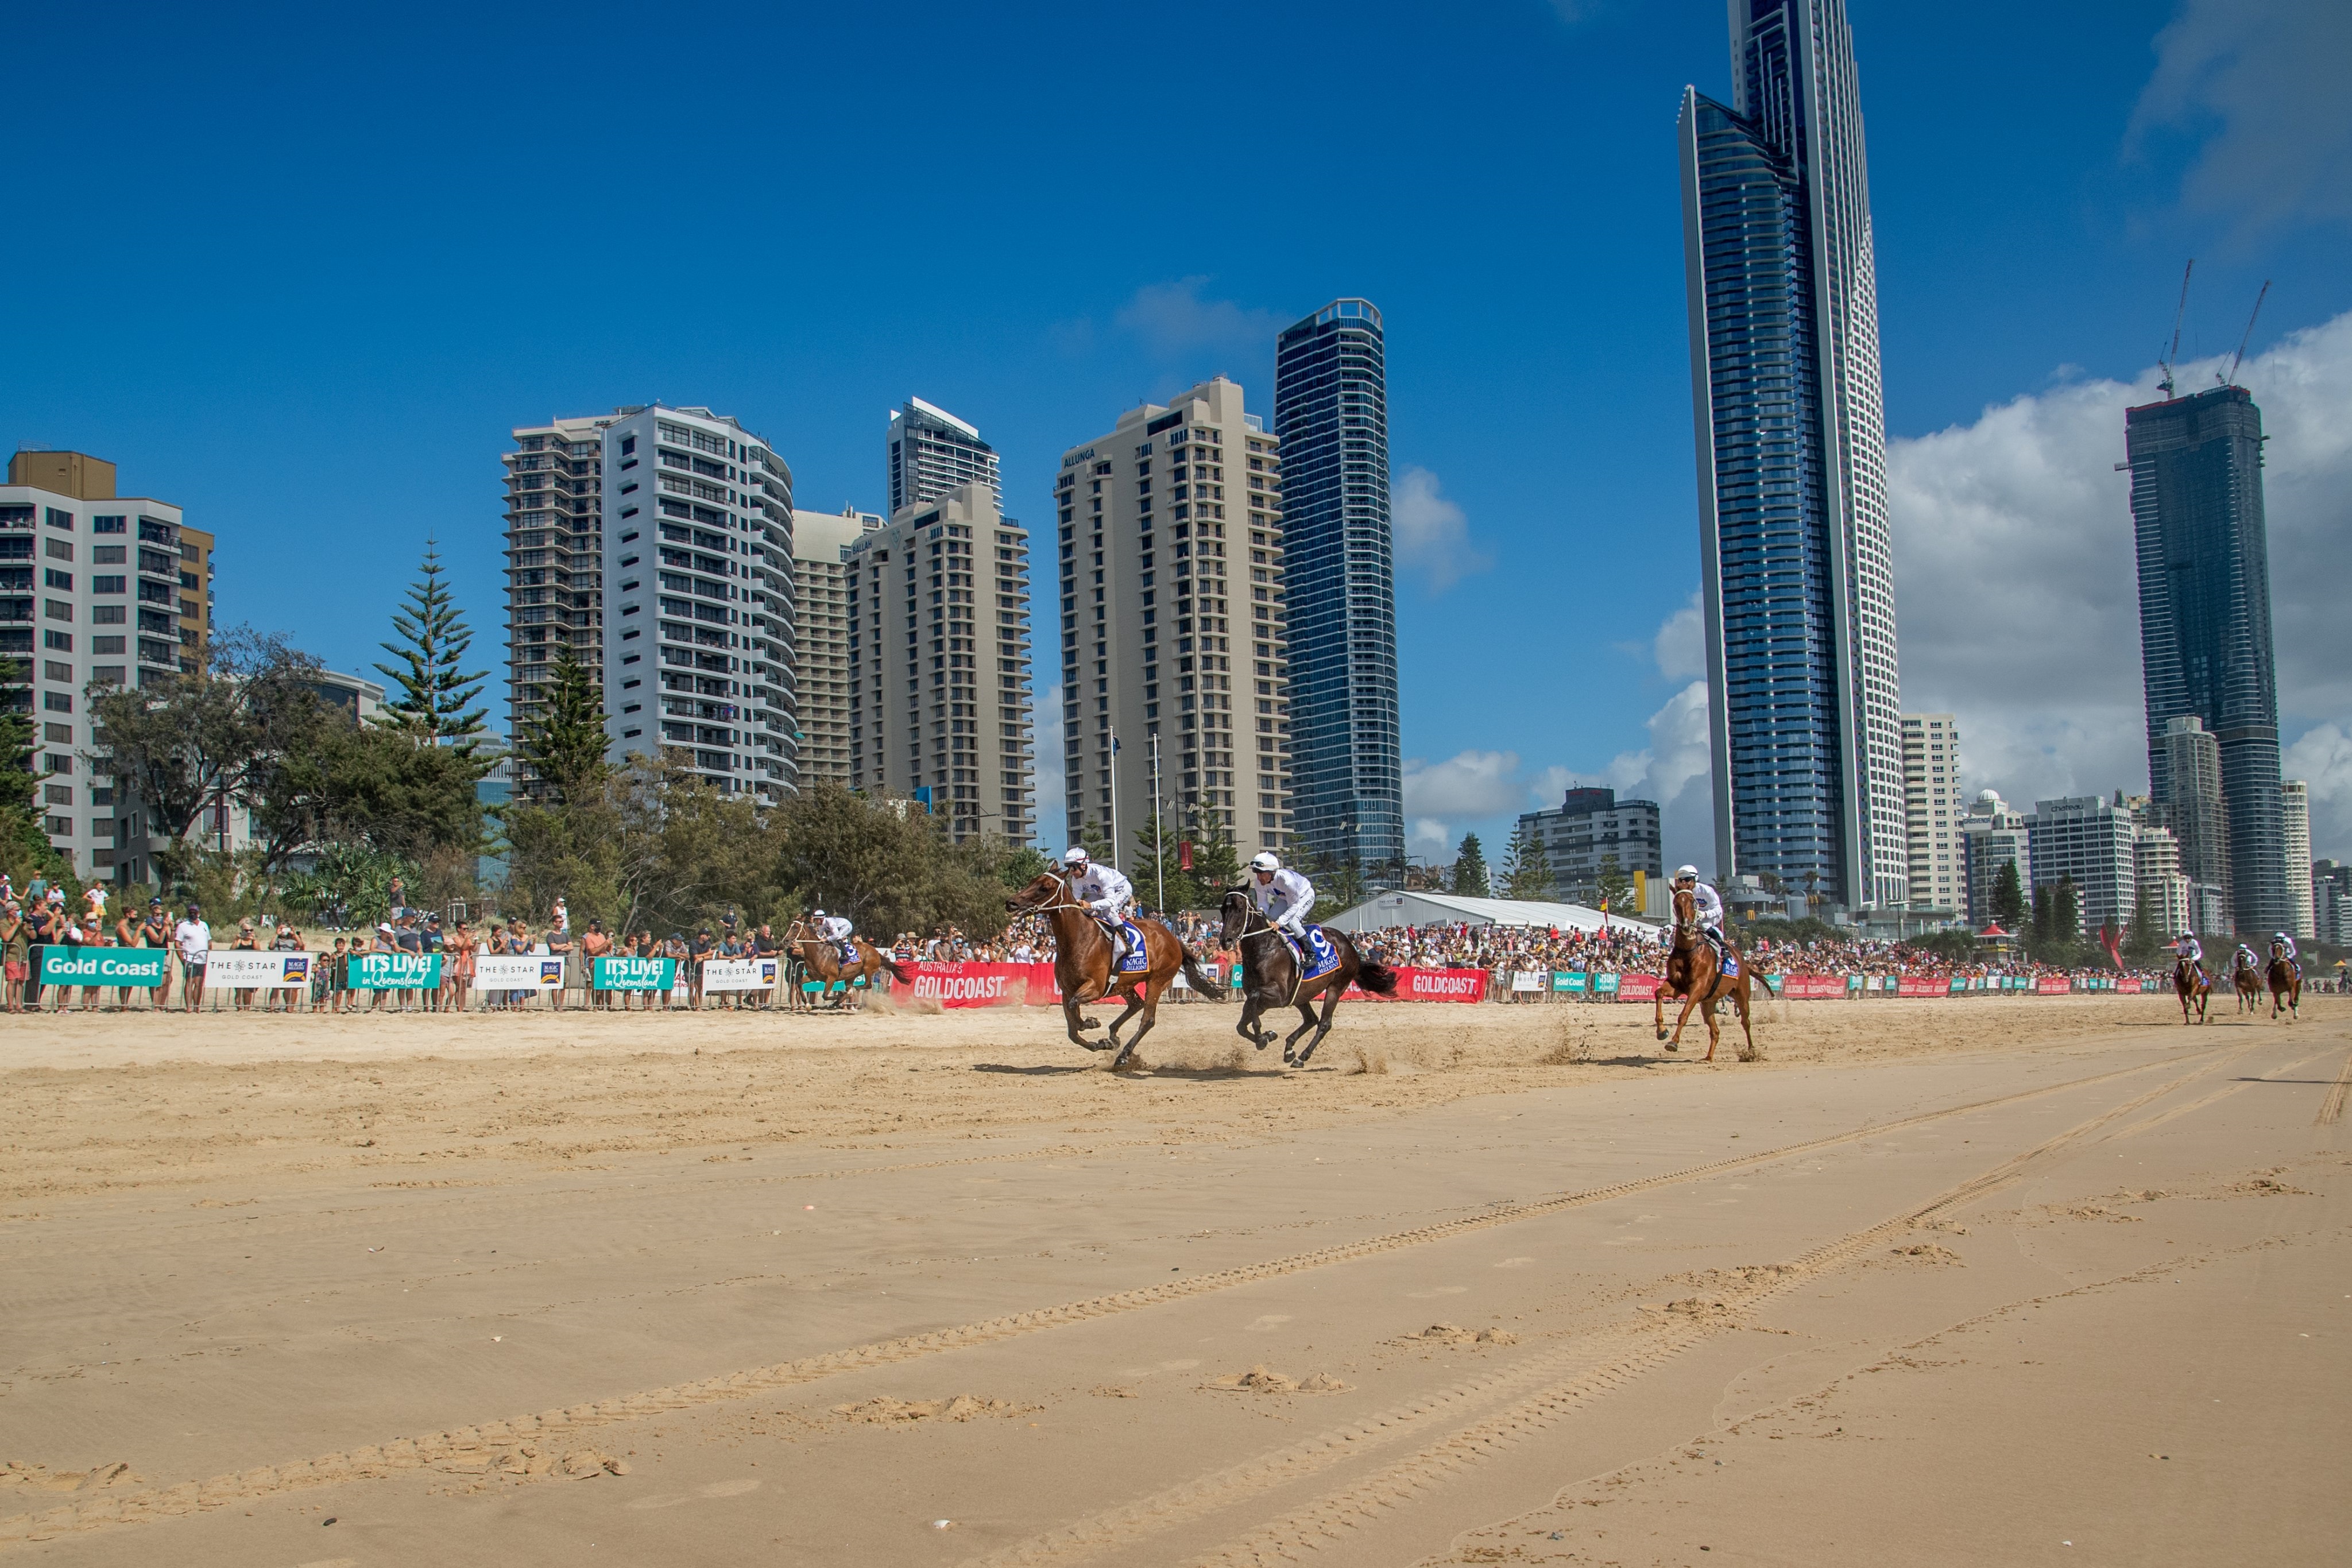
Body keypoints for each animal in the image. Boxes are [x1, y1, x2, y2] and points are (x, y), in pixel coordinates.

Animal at [1001, 869, 1223, 1081]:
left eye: (1045, 888)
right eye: (1032, 881)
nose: (1011, 903)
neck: (1078, 939)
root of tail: (1173, 939)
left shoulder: (1095, 988)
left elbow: (1076, 1012)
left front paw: (1091, 1023)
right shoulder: (1067, 990)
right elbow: (1073, 1031)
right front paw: (1101, 1042)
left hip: (1158, 980)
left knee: (1148, 1019)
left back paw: (1123, 1056)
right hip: (1125, 984)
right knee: (1136, 1004)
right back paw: (1114, 1037)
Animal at [1213, 893, 1392, 1067]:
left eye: (1240, 909)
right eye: (1222, 910)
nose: (1225, 940)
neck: (1263, 950)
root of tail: (1350, 946)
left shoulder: (1280, 996)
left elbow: (1253, 999)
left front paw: (1263, 1037)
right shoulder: (1265, 999)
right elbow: (1242, 1024)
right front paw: (1267, 1036)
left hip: (1336, 987)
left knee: (1324, 1023)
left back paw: (1302, 1057)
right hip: (1302, 994)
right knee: (1311, 1019)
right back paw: (1289, 1049)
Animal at [1646, 884, 1769, 1067]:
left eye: (1693, 902)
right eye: (1676, 902)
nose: (1686, 926)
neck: (1689, 950)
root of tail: (1743, 961)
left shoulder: (1697, 988)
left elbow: (1684, 1015)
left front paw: (1673, 1042)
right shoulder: (1677, 985)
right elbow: (1659, 993)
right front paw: (1662, 1031)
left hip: (1742, 994)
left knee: (1746, 1022)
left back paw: (1751, 1052)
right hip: (1708, 1002)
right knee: (1715, 1031)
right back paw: (1708, 1057)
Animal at [2173, 950, 2211, 1025]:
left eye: (2187, 964)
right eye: (2180, 965)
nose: (2185, 978)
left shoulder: (2194, 988)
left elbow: (2190, 999)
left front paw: (2188, 1006)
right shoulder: (2181, 993)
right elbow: (2185, 1007)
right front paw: (2187, 1021)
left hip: (2205, 992)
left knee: (2203, 1006)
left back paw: (2201, 1020)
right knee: (2195, 1000)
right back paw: (2198, 1011)